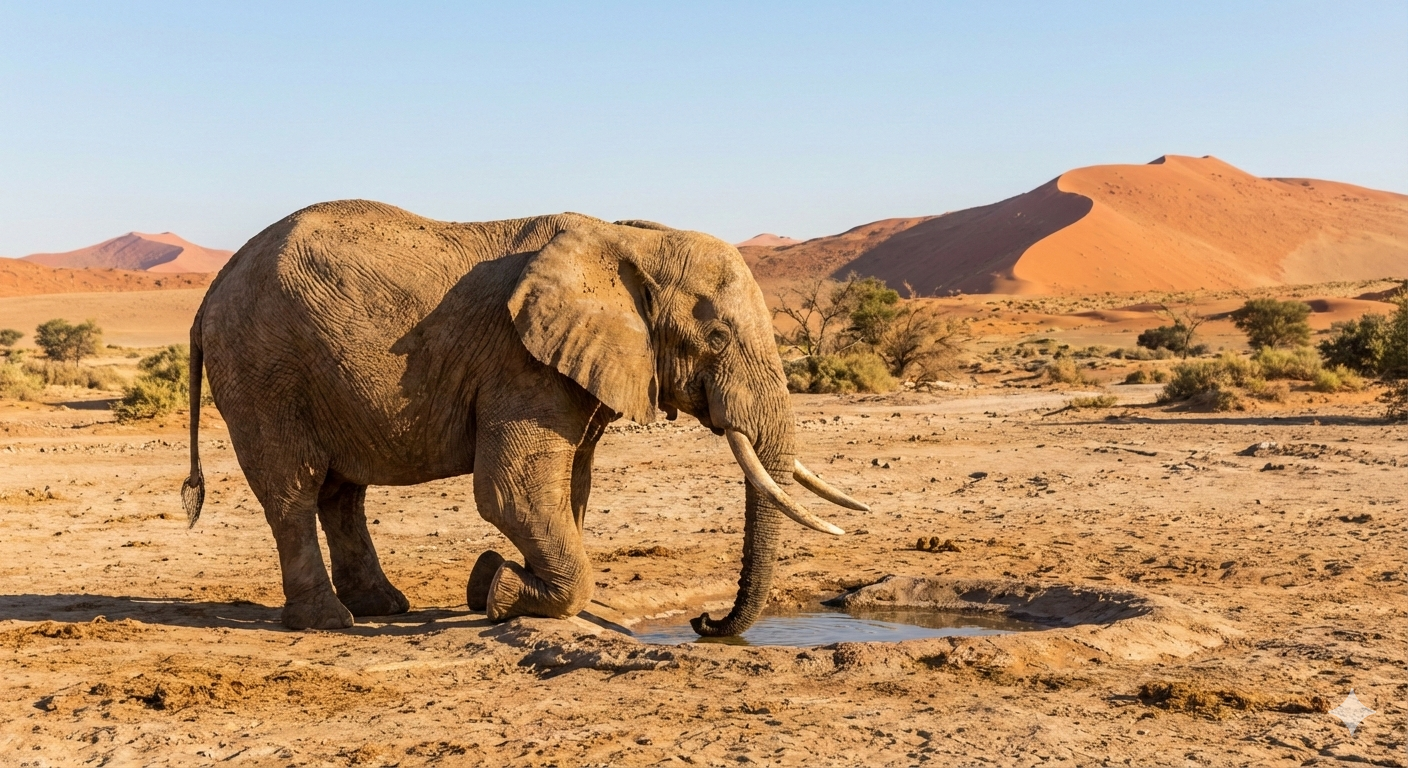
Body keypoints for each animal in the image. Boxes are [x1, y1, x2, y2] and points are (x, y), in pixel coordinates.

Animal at [181, 200, 868, 636]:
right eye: (719, 338)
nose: (705, 621)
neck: (628, 239)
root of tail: (210, 292)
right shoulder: (521, 361)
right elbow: (513, 492)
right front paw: (498, 590)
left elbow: (571, 488)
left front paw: (495, 583)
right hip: (264, 371)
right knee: (293, 490)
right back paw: (329, 622)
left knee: (341, 492)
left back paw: (385, 607)